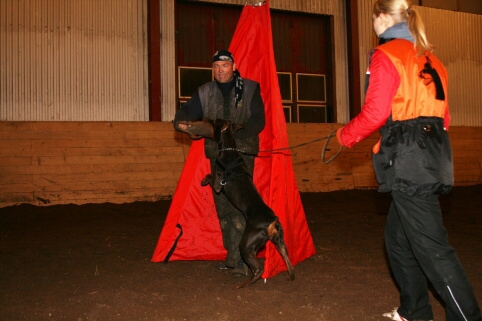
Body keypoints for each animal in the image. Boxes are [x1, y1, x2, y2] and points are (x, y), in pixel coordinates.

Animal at [178, 117, 294, 288]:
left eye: (215, 121)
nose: (207, 118)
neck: (229, 151)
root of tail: (271, 223)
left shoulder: (218, 185)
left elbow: (210, 177)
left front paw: (204, 180)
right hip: (280, 241)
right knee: (288, 260)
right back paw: (290, 277)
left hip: (246, 244)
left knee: (258, 269)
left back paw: (244, 284)